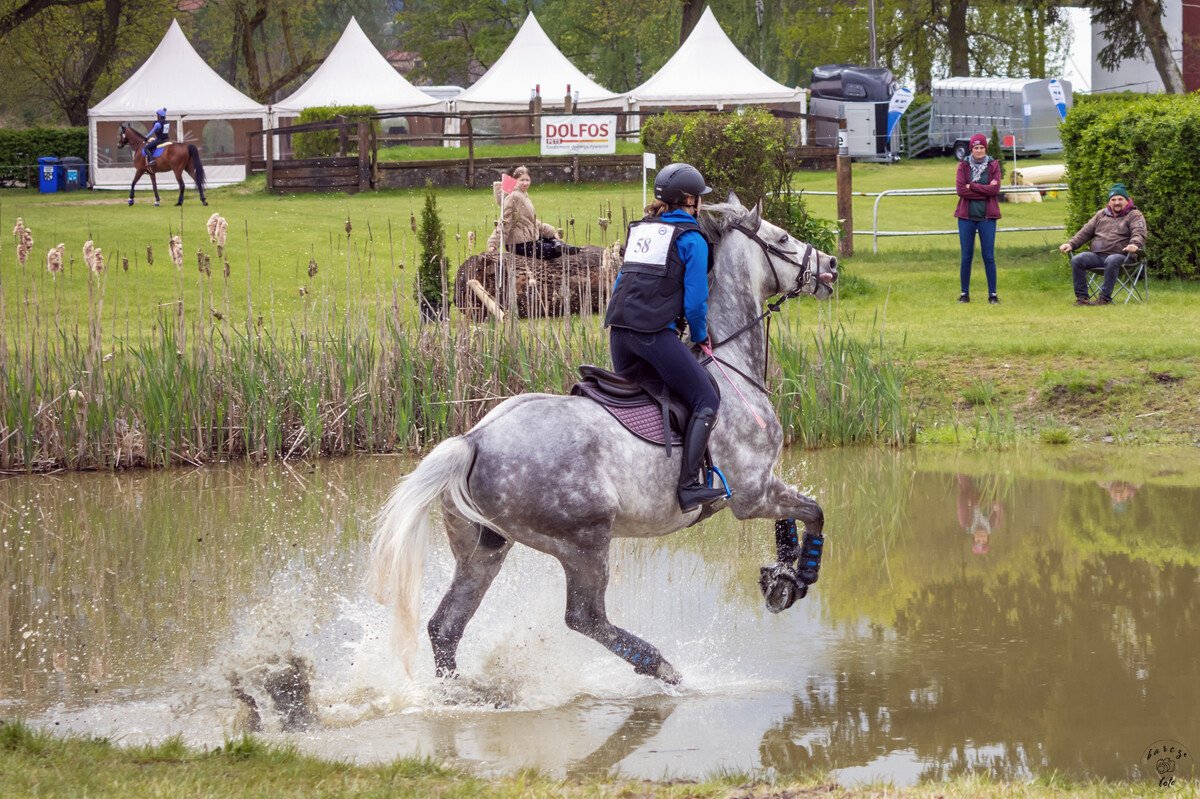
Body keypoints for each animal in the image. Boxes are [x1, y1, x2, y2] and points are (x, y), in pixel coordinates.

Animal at [369, 195, 840, 681]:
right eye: (781, 238)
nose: (830, 265)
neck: (730, 366)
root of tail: (473, 441)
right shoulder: (752, 493)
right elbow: (814, 512)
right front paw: (799, 575)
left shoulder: (760, 486)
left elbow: (793, 519)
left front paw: (780, 578)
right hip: (584, 541)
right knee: (585, 617)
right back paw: (660, 666)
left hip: (483, 548)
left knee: (446, 625)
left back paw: (460, 691)